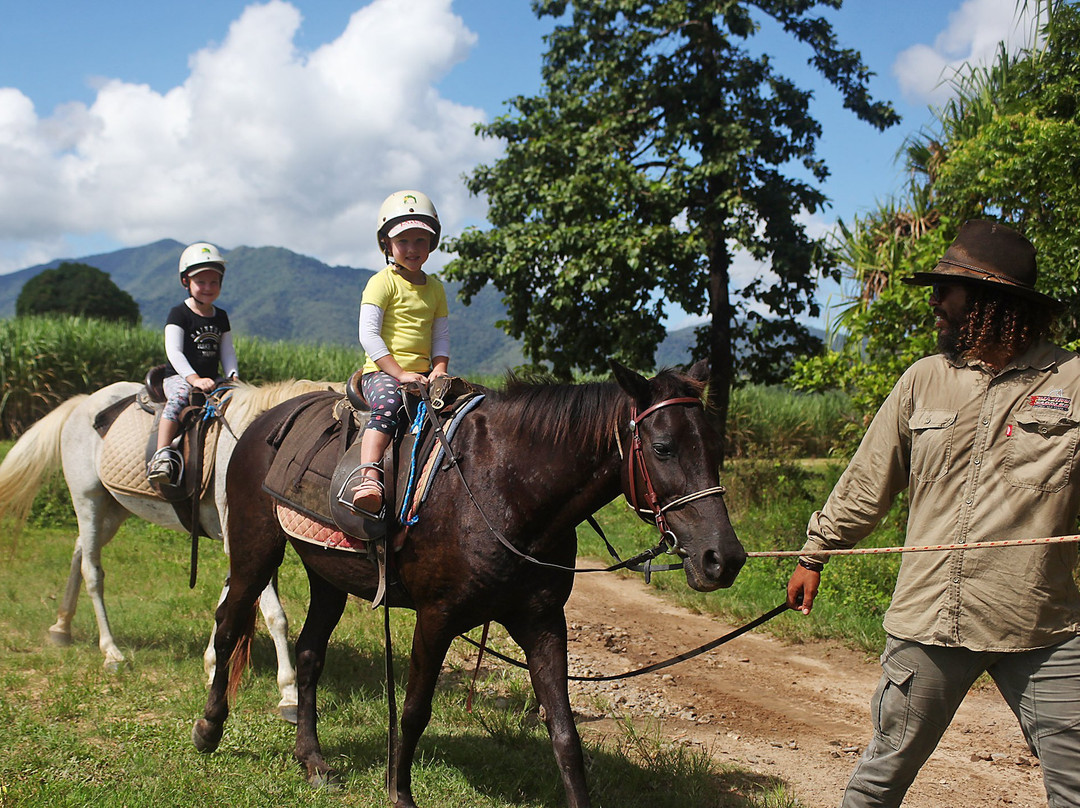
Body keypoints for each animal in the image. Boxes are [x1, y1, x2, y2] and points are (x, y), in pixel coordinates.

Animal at [0, 378, 339, 721]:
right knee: (92, 571)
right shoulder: (246, 542)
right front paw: (289, 694)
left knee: (79, 550)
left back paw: (61, 627)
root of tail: (83, 402)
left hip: (112, 510)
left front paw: (212, 664)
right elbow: (274, 616)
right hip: (88, 500)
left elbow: (226, 601)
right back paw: (111, 652)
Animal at [192, 360, 743, 808]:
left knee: (309, 653)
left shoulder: (543, 622)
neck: (507, 488)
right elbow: (414, 710)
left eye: (716, 448)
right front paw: (399, 793)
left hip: (326, 572)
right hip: (255, 550)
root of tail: (262, 422)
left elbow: (564, 730)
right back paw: (208, 728)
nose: (724, 559)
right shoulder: (437, 618)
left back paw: (312, 760)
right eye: (662, 448)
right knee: (230, 623)